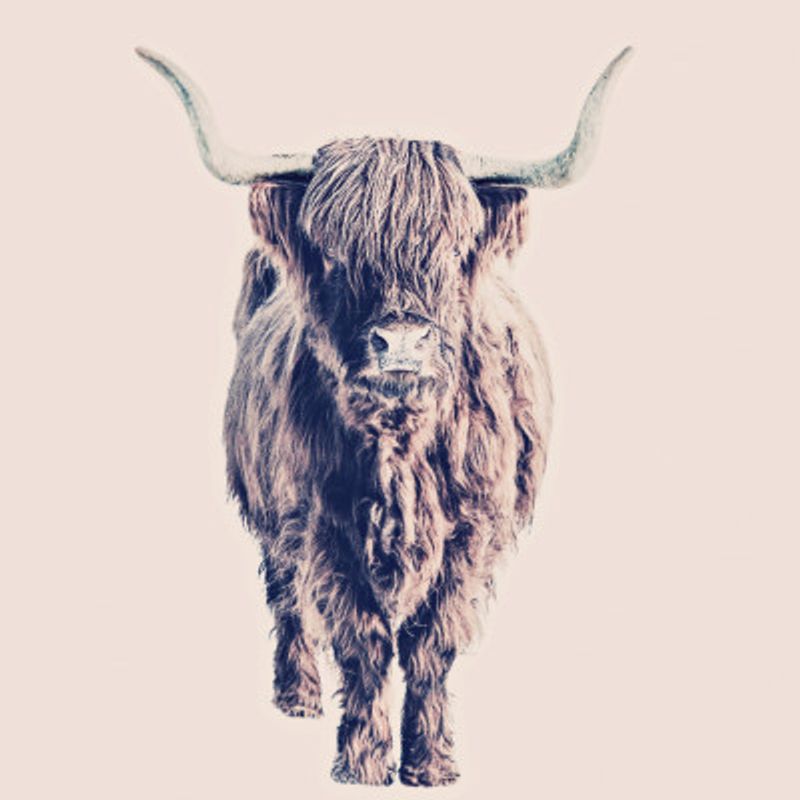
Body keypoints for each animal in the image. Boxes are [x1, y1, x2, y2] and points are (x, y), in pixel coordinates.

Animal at [138, 47, 631, 786]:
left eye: (451, 251)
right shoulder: (323, 523)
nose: (400, 341)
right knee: (284, 594)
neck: (400, 444)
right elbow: (363, 640)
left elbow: (430, 643)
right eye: (337, 255)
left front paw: (430, 764)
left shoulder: (470, 532)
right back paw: (297, 696)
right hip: (268, 507)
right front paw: (362, 763)